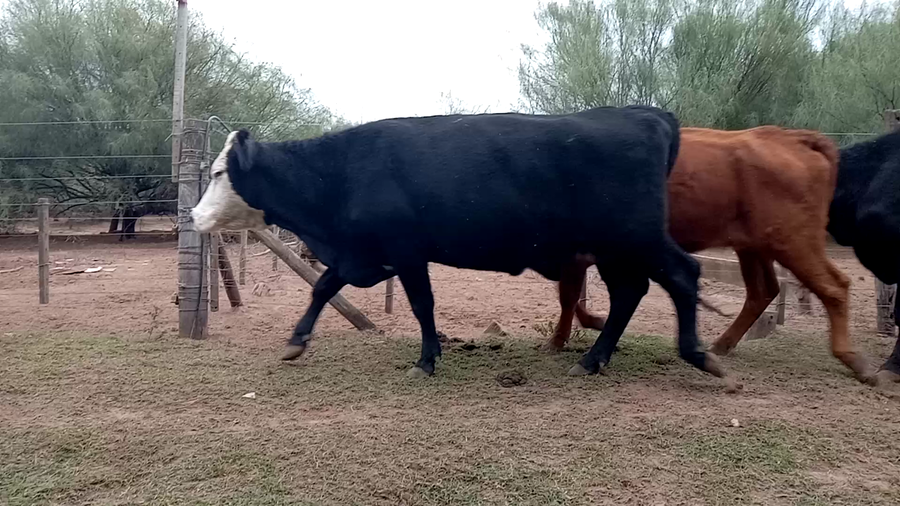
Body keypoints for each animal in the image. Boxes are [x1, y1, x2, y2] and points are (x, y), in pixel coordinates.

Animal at [190, 106, 733, 385]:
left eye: (217, 173)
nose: (193, 216)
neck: (340, 172)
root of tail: (647, 116)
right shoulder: (362, 252)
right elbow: (322, 287)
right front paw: (296, 342)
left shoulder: (406, 251)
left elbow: (421, 304)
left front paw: (427, 359)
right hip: (614, 249)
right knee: (630, 294)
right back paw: (594, 358)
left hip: (636, 237)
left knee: (682, 275)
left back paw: (698, 355)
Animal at [546, 126, 873, 383]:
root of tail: (790, 137)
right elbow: (572, 297)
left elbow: (571, 296)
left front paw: (562, 338)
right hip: (753, 248)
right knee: (763, 290)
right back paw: (721, 345)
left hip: (793, 242)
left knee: (833, 286)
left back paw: (855, 360)